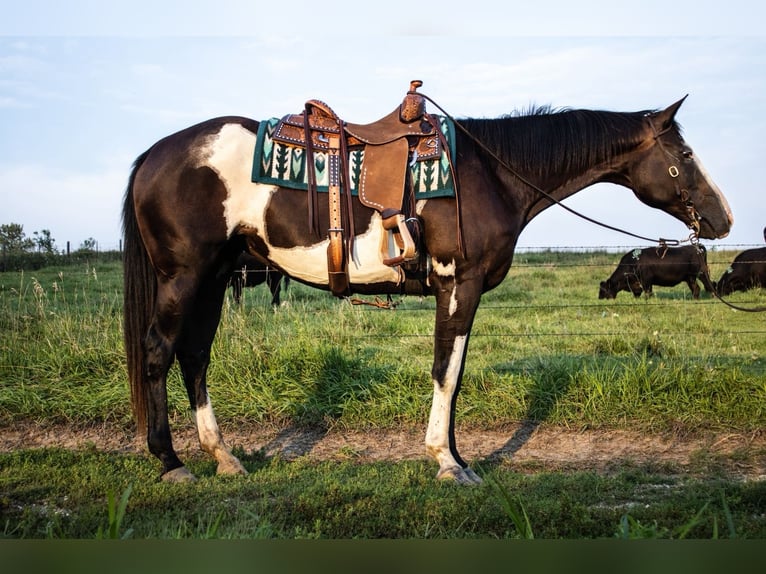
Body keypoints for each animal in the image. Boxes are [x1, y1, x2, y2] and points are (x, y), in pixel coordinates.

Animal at [122, 94, 732, 484]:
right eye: (683, 157)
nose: (723, 219)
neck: (491, 173)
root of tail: (156, 153)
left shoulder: (464, 292)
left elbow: (455, 376)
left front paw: (459, 456)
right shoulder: (458, 285)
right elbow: (447, 370)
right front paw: (446, 461)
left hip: (214, 279)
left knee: (195, 357)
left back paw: (222, 457)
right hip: (185, 278)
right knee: (158, 353)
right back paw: (171, 463)